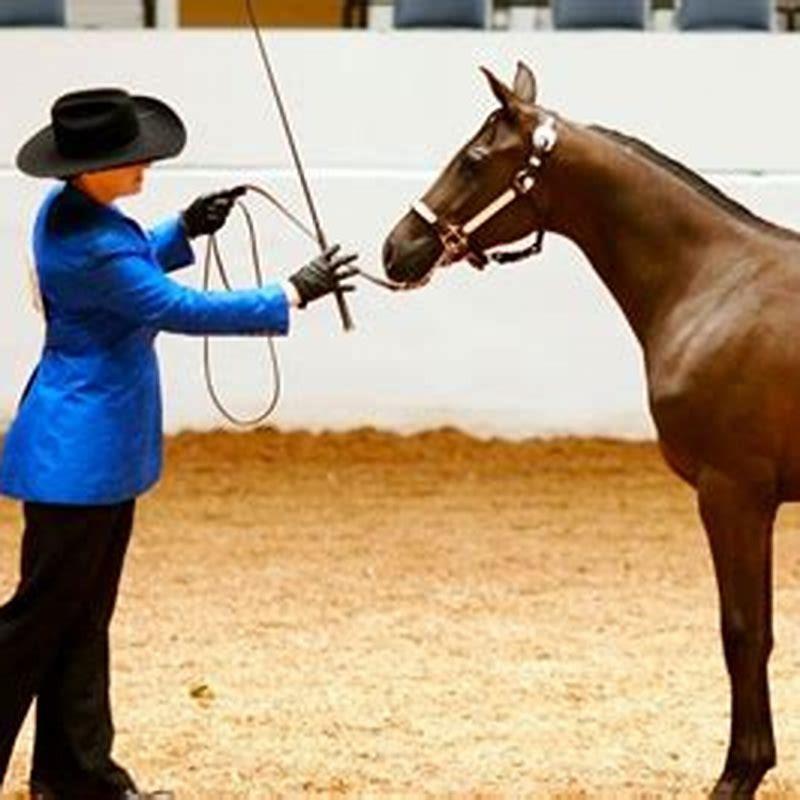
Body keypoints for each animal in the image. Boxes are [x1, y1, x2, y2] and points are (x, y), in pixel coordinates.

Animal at [381, 61, 800, 798]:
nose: (396, 247)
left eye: (474, 159)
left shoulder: (734, 493)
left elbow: (744, 633)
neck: (717, 283)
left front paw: (739, 772)